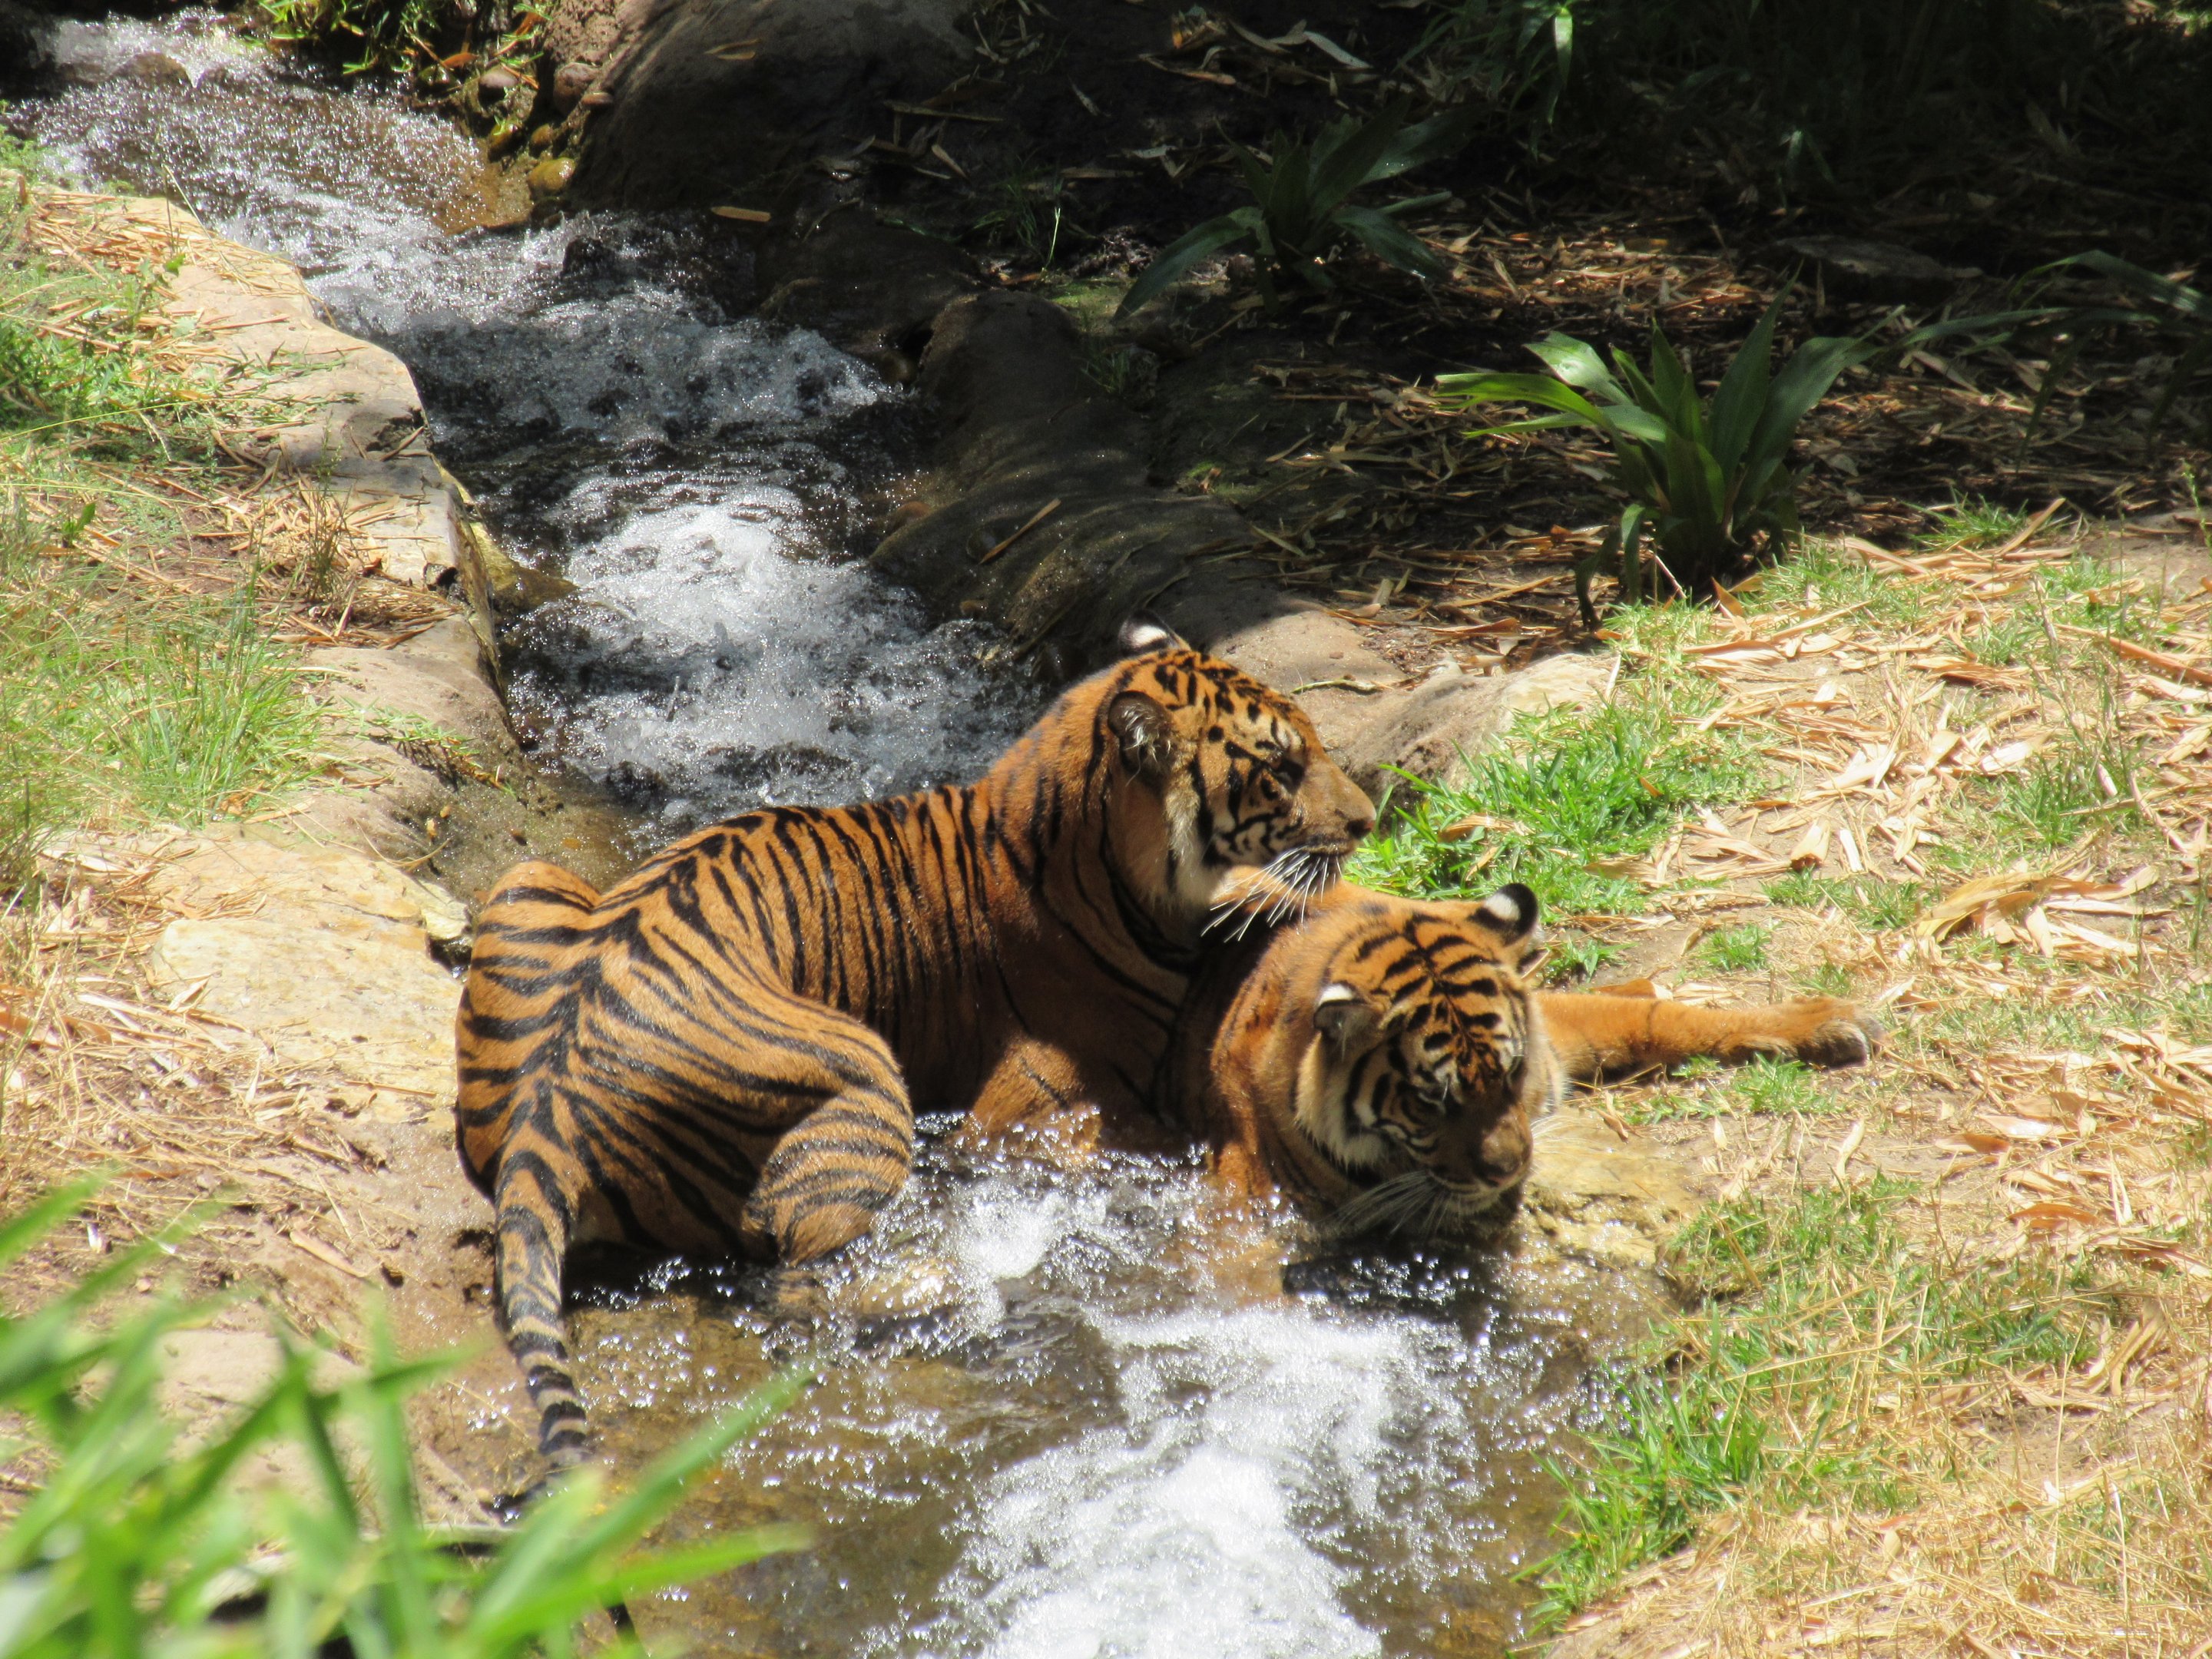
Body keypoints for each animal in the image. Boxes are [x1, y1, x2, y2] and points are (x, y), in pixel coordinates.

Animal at [455, 618, 1375, 1465]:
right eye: (1283, 770)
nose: (1370, 822)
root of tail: (550, 1108)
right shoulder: (1027, 1108)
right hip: (864, 1070)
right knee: (797, 1276)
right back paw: (950, 1293)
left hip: (528, 878)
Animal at [1158, 882, 1881, 1239]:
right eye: (1430, 1100)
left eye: (1508, 1073)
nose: (1508, 1171)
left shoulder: (1554, 1036)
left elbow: (1663, 1020)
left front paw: (1825, 1023)